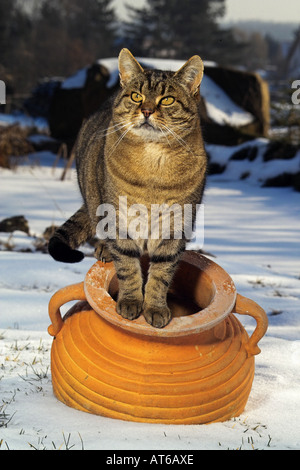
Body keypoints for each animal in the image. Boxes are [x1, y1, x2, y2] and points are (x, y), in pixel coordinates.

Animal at [48, 47, 207, 326]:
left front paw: (155, 308)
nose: (146, 110)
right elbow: (128, 267)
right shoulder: (119, 219)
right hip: (95, 200)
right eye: (136, 96)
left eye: (167, 100)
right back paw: (104, 249)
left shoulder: (176, 226)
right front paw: (131, 302)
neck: (153, 167)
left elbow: (161, 273)